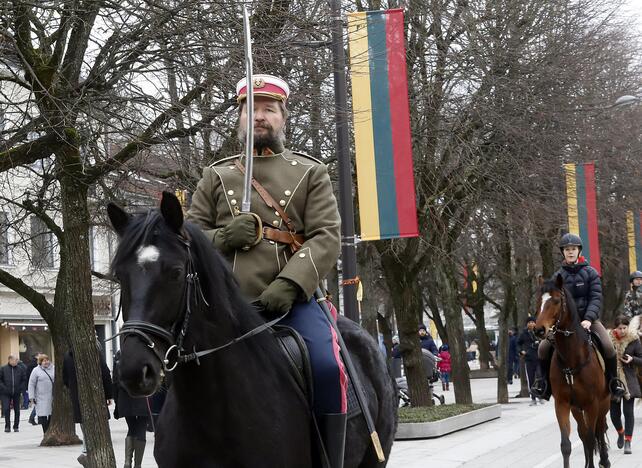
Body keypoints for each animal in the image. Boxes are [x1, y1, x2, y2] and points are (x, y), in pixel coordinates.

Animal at [532, 274, 608, 468]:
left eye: (557, 300)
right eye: (538, 301)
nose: (539, 330)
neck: (572, 359)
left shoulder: (592, 404)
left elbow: (592, 437)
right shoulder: (562, 404)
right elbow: (566, 444)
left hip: (604, 403)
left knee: (600, 429)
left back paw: (605, 460)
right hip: (576, 409)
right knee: (583, 432)